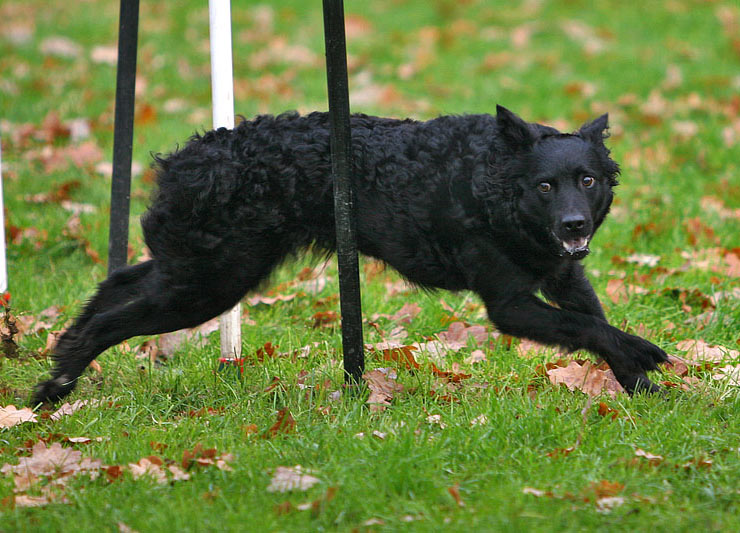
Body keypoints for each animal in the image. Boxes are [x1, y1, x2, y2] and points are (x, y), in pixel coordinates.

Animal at [33, 105, 672, 404]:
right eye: (545, 186)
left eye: (587, 180)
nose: (574, 224)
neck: (493, 184)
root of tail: (193, 158)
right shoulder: (510, 304)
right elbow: (592, 330)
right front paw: (646, 355)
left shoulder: (564, 276)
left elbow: (595, 323)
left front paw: (643, 390)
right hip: (210, 284)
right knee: (114, 319)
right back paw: (53, 388)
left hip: (198, 270)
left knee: (116, 285)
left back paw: (61, 351)